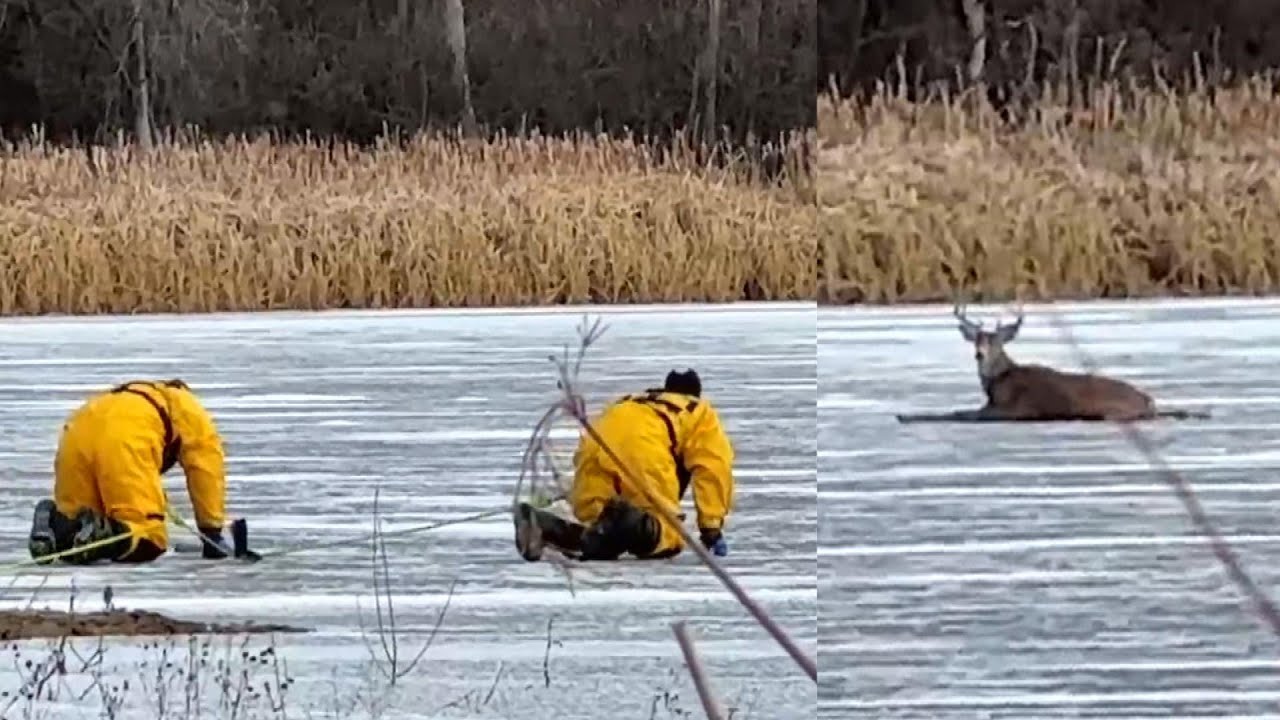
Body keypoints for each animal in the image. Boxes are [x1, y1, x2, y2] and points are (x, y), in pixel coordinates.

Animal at [895, 303, 1210, 424]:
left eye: (996, 343)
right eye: (977, 341)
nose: (980, 355)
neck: (997, 383)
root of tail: (1149, 400)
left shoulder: (1014, 409)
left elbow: (960, 413)